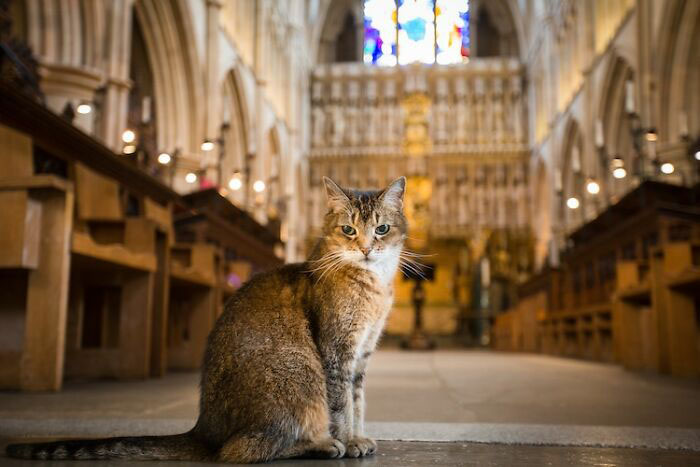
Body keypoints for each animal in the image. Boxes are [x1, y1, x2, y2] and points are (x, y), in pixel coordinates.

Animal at [6, 176, 410, 464]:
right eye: (348, 230)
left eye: (382, 229)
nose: (366, 249)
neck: (373, 286)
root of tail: (203, 430)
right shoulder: (337, 353)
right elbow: (341, 405)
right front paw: (348, 440)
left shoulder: (361, 355)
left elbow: (358, 402)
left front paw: (359, 436)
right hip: (299, 373)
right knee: (239, 451)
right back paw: (320, 445)